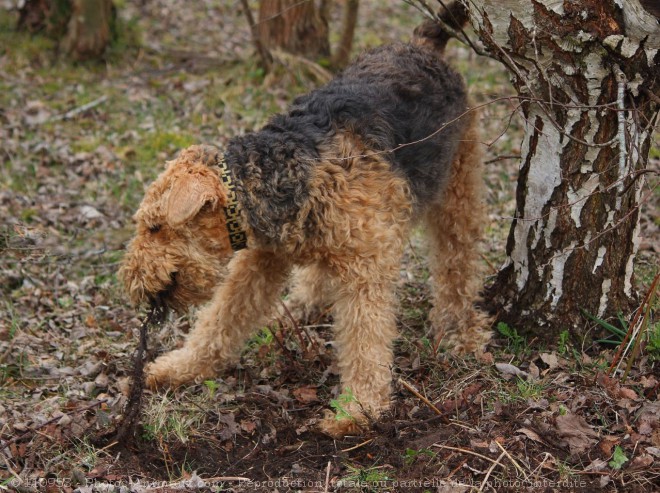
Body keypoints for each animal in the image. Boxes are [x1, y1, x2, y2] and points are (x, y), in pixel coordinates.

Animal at [120, 14, 490, 434]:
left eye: (154, 228)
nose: (132, 283)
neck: (278, 172)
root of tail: (423, 45)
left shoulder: (365, 268)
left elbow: (364, 341)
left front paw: (356, 410)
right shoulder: (260, 260)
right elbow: (221, 318)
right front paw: (178, 368)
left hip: (458, 184)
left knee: (457, 260)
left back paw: (460, 330)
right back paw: (301, 305)